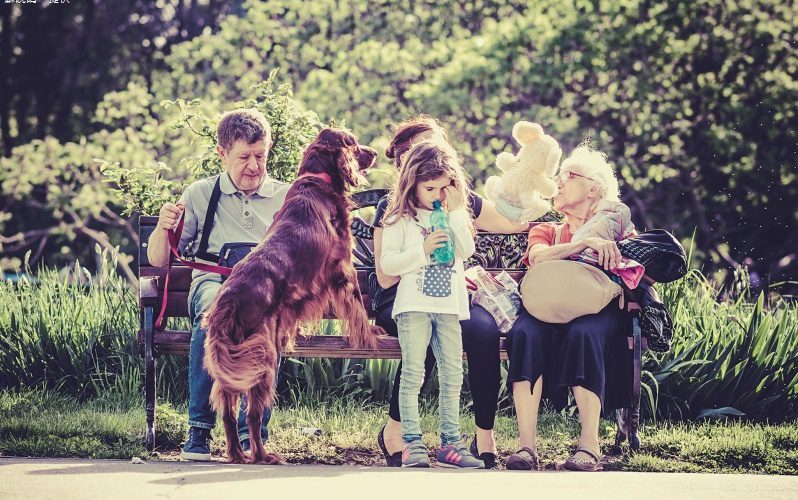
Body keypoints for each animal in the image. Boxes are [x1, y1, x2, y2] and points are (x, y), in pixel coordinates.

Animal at [203, 129, 384, 464]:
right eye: (352, 142)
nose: (375, 152)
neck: (317, 179)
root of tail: (228, 302)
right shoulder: (342, 266)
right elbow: (356, 305)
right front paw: (370, 334)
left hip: (235, 363)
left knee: (228, 413)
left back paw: (237, 454)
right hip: (261, 357)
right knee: (253, 415)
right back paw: (263, 456)